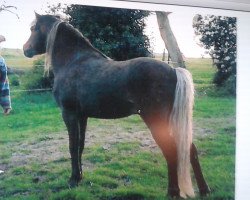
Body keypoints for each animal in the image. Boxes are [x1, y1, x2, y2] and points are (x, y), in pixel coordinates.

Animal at [23, 13, 210, 198]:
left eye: (33, 29)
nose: (25, 49)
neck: (73, 62)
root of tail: (173, 71)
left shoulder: (69, 114)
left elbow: (72, 146)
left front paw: (73, 179)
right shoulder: (82, 116)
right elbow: (80, 146)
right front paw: (80, 177)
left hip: (156, 122)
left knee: (171, 151)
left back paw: (173, 192)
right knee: (190, 150)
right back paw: (204, 190)